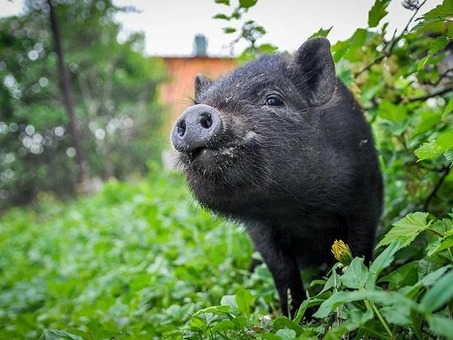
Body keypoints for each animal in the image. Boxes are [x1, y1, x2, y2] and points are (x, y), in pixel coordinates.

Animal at [170, 38, 382, 318]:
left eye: (273, 99)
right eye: (201, 102)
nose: (195, 113)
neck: (298, 208)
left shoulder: (366, 196)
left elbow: (359, 252)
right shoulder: (259, 229)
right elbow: (282, 272)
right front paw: (297, 317)